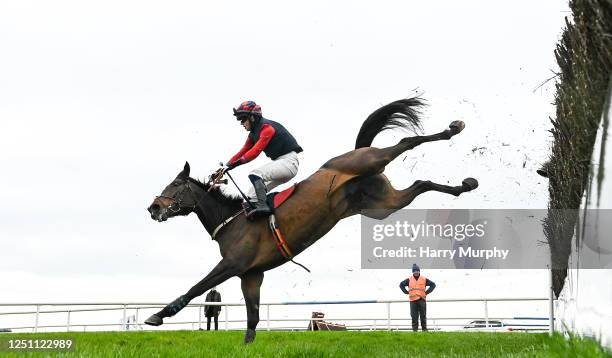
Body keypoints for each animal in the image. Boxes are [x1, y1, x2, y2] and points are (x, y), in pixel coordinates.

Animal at [145, 96, 478, 342]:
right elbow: (252, 319)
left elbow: (195, 288)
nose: (153, 208)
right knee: (420, 184)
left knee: (407, 141)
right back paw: (464, 185)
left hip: (369, 161)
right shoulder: (252, 275)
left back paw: (454, 129)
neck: (232, 220)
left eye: (175, 185)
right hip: (382, 205)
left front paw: (158, 315)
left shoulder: (232, 265)